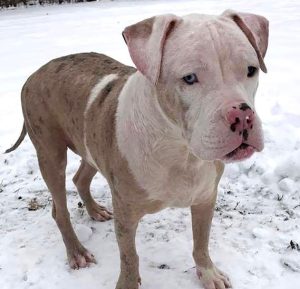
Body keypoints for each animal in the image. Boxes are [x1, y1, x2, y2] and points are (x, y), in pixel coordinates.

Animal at [6, 9, 270, 288]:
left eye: (251, 70)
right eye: (189, 78)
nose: (242, 116)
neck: (180, 151)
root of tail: (34, 74)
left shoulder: (205, 197)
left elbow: (201, 241)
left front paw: (208, 273)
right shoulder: (126, 214)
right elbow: (129, 257)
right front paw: (128, 282)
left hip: (90, 142)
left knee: (80, 178)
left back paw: (95, 210)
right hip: (50, 154)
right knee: (60, 209)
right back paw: (77, 252)